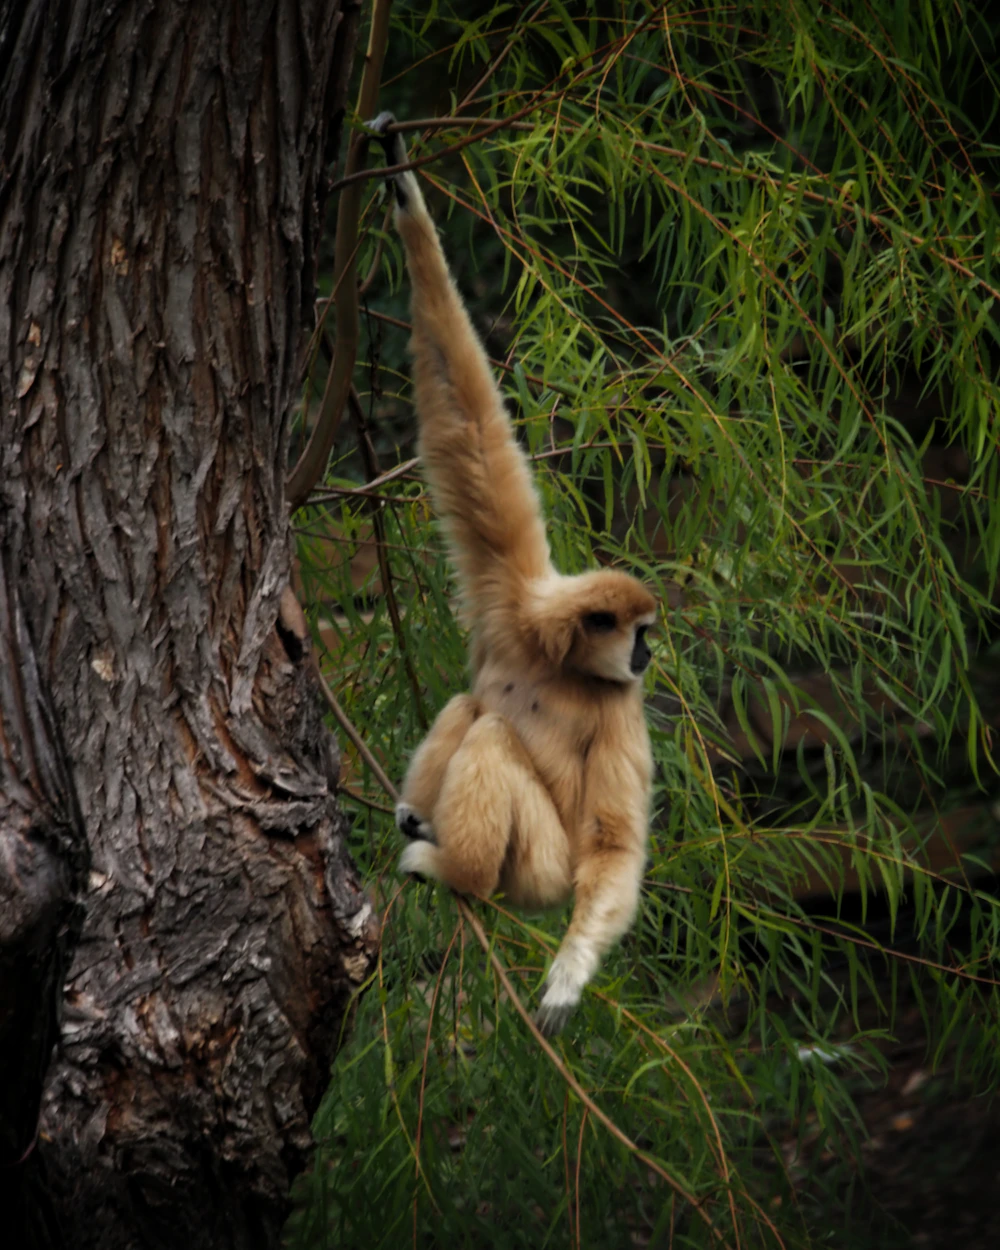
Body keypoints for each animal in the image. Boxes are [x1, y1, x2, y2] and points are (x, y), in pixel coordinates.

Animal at [370, 113, 657, 1036]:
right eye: (638, 636)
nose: (648, 656)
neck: (555, 658)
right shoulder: (512, 597)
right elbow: (468, 426)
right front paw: (403, 188)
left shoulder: (624, 707)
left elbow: (614, 845)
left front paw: (571, 973)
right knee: (474, 709)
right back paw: (420, 821)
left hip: (538, 876)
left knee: (494, 738)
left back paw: (450, 870)